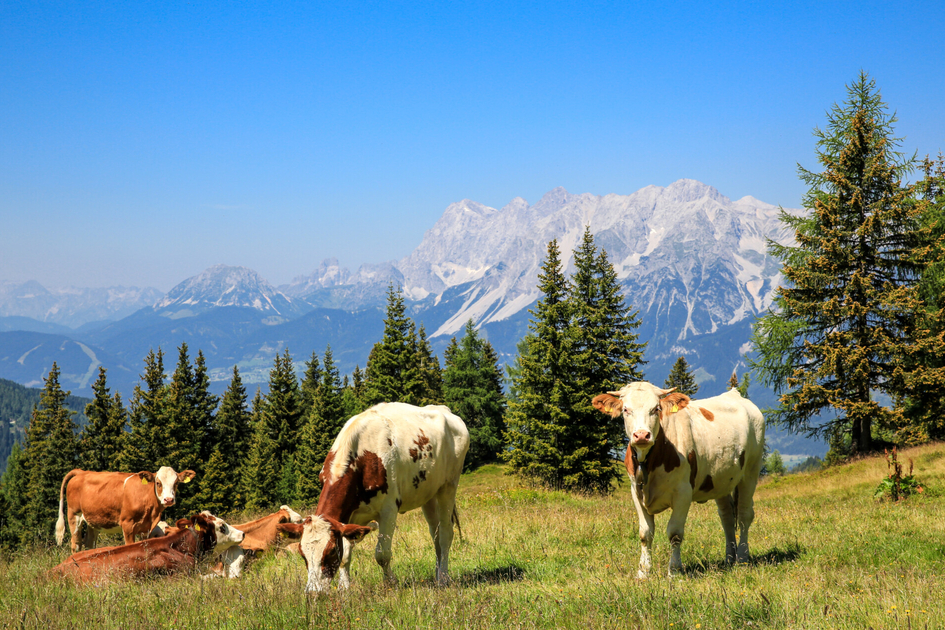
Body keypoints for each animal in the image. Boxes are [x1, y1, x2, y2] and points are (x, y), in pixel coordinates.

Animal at [55, 467, 197, 552]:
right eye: (158, 483)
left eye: (176, 483)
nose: (168, 499)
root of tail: (81, 472)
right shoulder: (127, 524)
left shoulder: (147, 528)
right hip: (74, 515)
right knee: (76, 543)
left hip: (93, 520)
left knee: (89, 542)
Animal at [297, 402, 469, 594]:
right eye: (303, 555)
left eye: (331, 551)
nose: (313, 592)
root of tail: (444, 409)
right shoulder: (348, 517)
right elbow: (346, 555)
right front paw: (344, 588)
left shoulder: (388, 510)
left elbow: (382, 554)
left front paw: (391, 584)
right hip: (428, 494)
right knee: (435, 534)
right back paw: (438, 575)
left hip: (449, 485)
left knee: (446, 533)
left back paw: (444, 579)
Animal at [592, 382, 765, 578]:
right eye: (626, 409)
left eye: (656, 409)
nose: (642, 435)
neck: (650, 461)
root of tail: (735, 394)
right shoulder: (635, 492)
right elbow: (645, 533)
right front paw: (643, 572)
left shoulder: (683, 493)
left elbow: (674, 533)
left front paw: (674, 571)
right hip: (721, 480)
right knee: (727, 516)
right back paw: (729, 559)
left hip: (750, 471)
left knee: (744, 515)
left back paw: (742, 559)